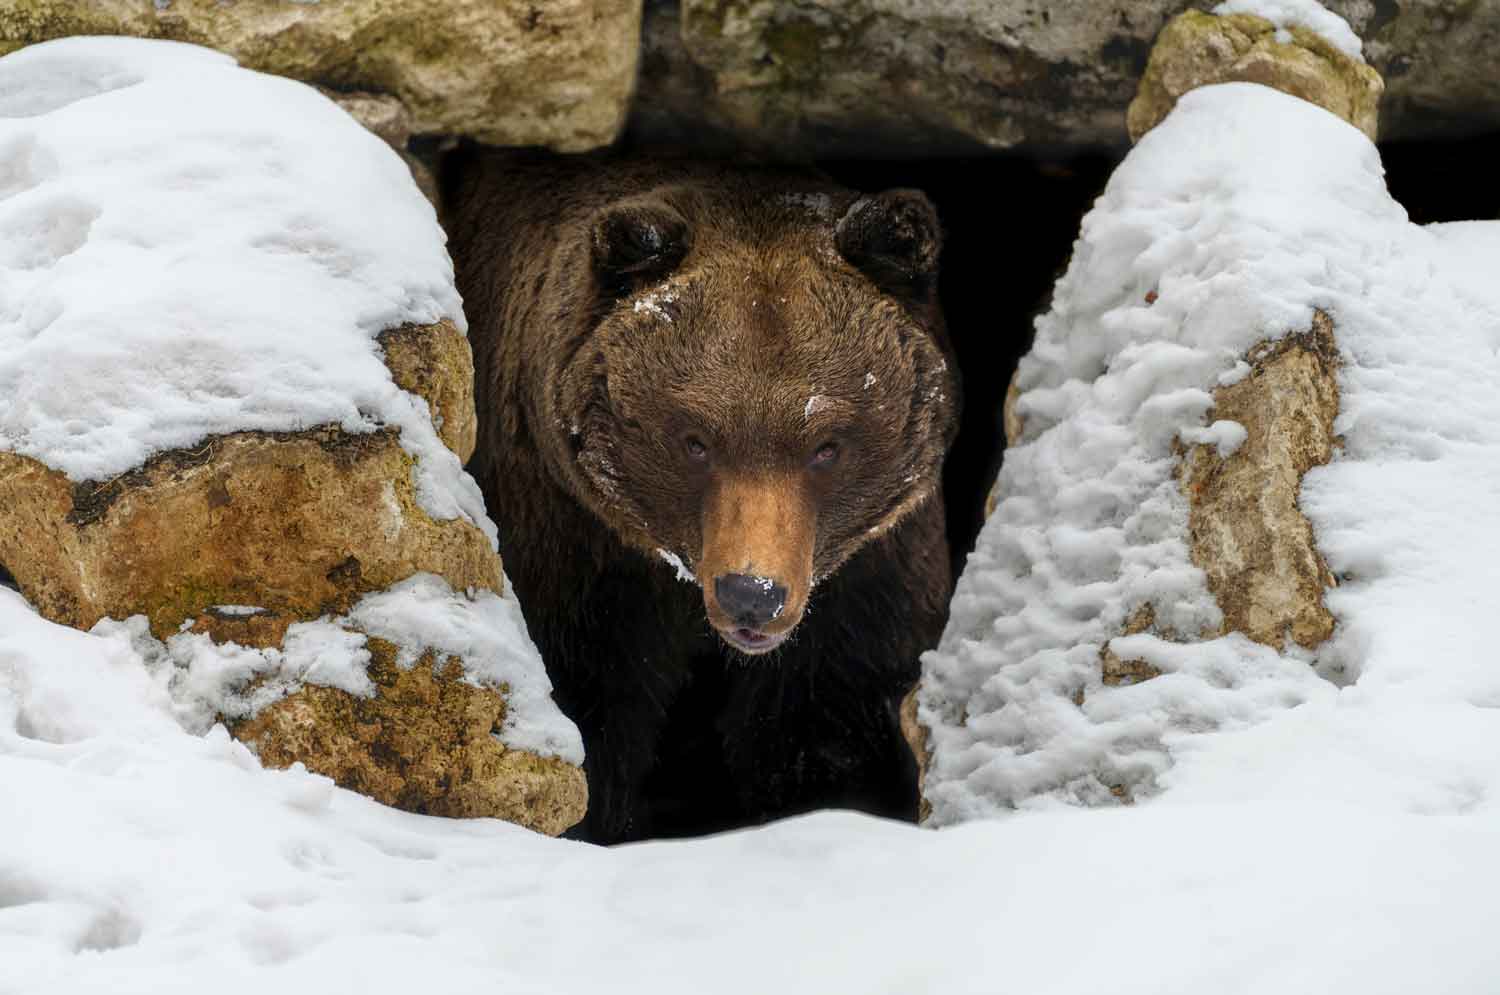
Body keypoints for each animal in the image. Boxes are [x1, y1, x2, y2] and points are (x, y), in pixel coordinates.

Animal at [444, 151, 960, 846]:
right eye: (696, 440)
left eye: (826, 445)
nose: (752, 593)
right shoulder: (578, 548)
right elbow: (589, 705)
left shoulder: (867, 580)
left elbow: (831, 729)